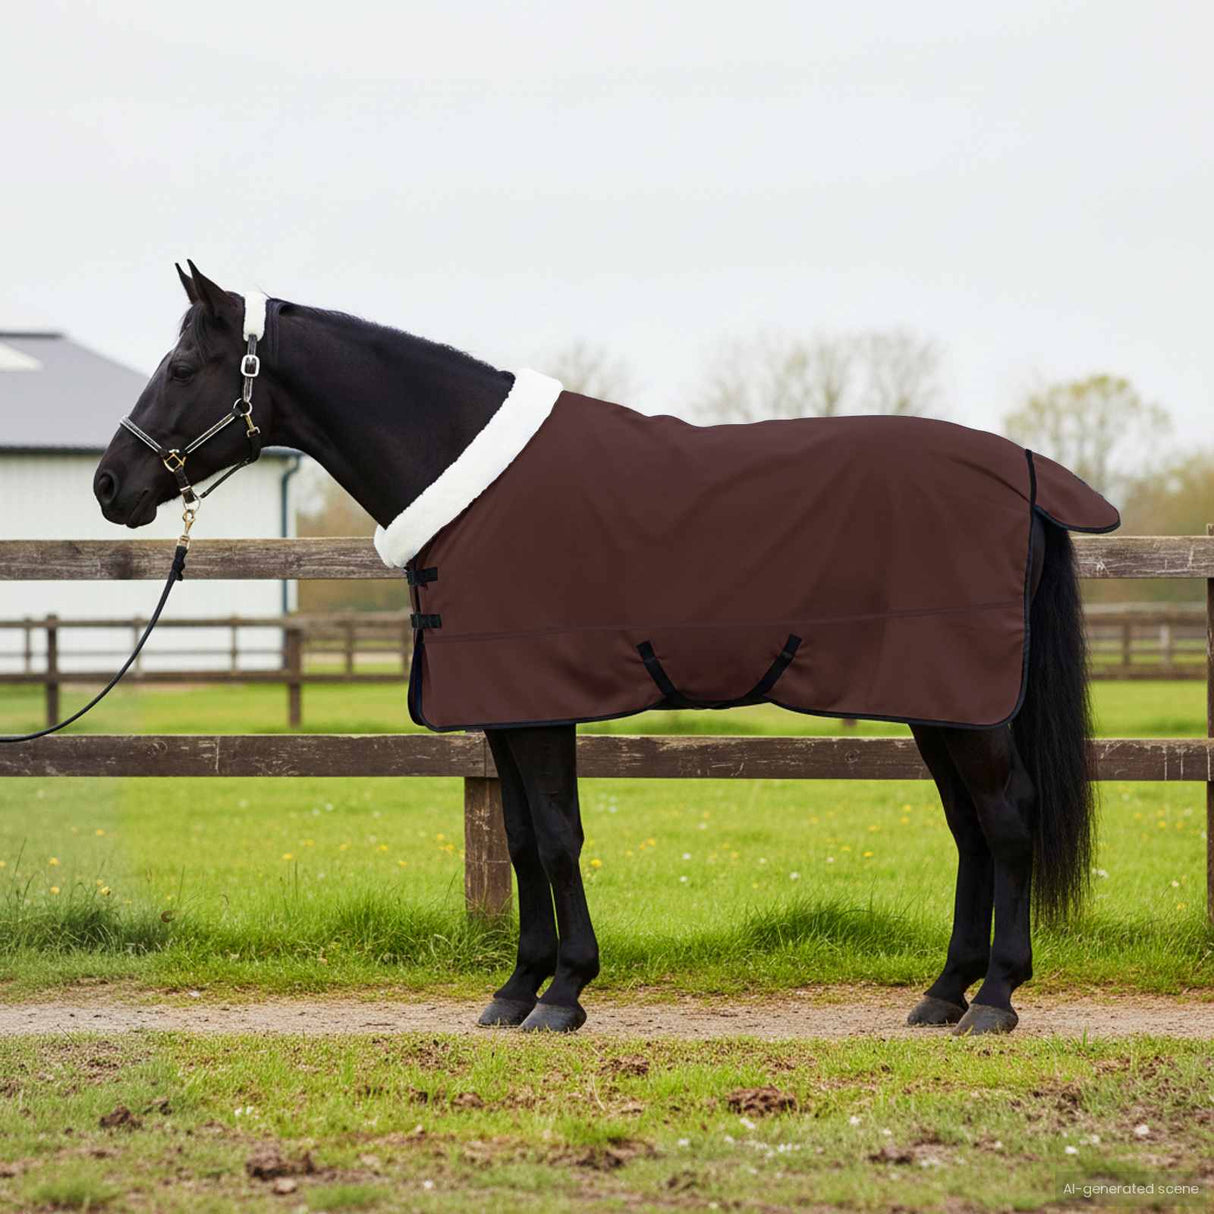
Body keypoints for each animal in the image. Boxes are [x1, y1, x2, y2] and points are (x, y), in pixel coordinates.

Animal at [94, 262, 1107, 1036]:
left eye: (182, 364)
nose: (110, 484)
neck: (468, 479)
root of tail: (1025, 473)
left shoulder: (540, 705)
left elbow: (555, 837)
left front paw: (565, 993)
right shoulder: (504, 710)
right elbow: (519, 842)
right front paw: (517, 989)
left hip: (967, 705)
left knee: (1006, 820)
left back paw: (996, 999)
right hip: (938, 701)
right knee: (970, 829)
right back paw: (943, 994)